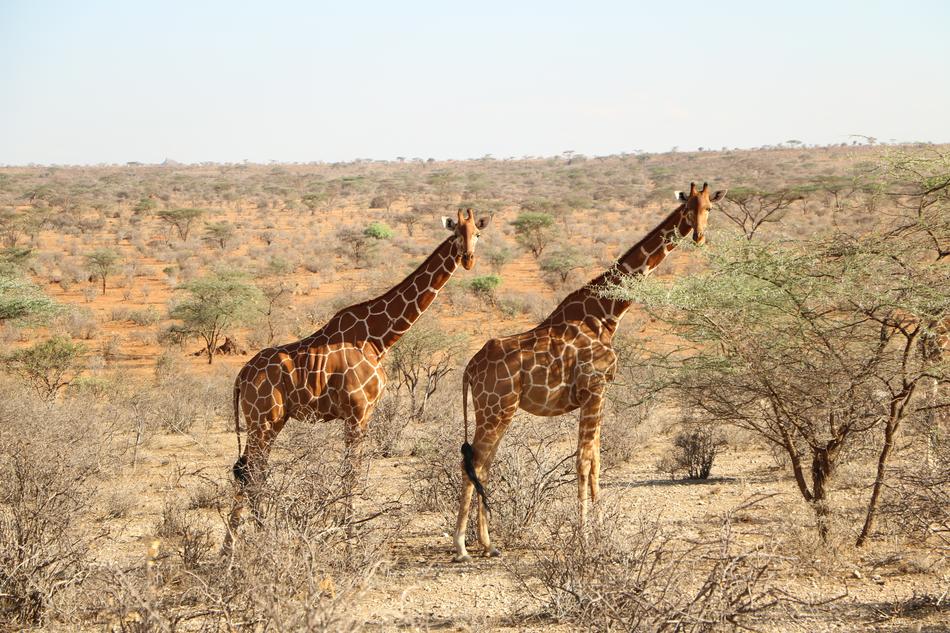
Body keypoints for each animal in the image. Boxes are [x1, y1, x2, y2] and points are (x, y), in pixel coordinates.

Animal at [226, 209, 490, 546]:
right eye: (456, 233)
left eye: (478, 235)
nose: (468, 259)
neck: (379, 338)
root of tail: (241, 376)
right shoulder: (357, 412)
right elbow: (350, 471)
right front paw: (351, 533)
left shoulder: (364, 414)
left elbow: (351, 470)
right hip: (263, 419)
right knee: (248, 470)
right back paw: (242, 541)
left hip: (272, 420)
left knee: (249, 469)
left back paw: (247, 538)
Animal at [452, 182, 726, 562]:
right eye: (688, 209)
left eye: (709, 208)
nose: (698, 236)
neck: (608, 311)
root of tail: (469, 369)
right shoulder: (594, 389)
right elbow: (583, 461)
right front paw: (582, 537)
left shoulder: (600, 393)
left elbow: (596, 459)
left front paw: (598, 530)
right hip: (496, 409)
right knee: (475, 464)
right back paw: (462, 546)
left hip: (495, 411)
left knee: (484, 465)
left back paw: (488, 544)